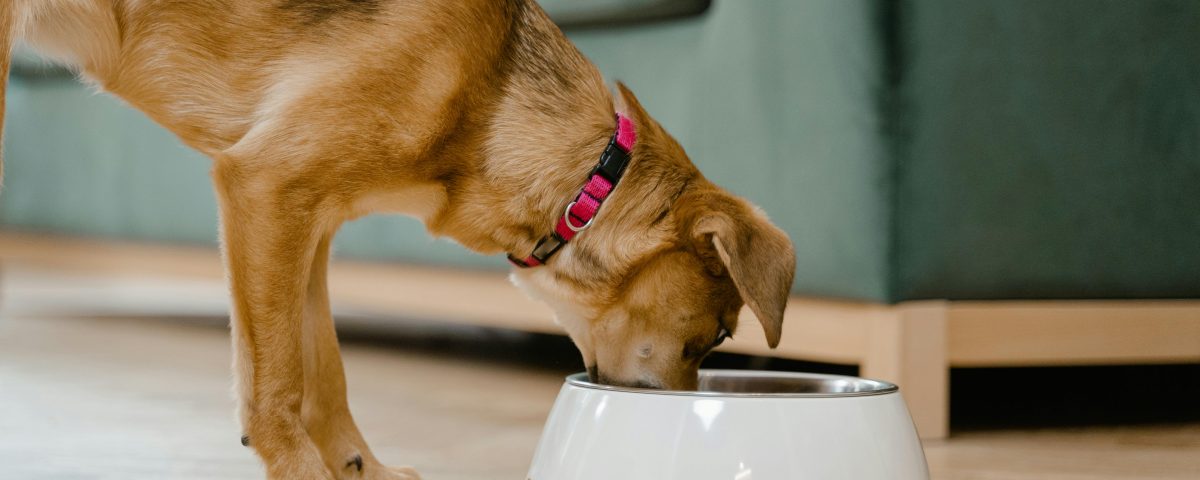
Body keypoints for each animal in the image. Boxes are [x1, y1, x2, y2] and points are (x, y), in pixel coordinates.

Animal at [2, 1, 796, 477]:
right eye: (717, 336)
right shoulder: (264, 186)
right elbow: (276, 386)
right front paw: (301, 470)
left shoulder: (305, 223)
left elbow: (324, 374)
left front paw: (361, 469)